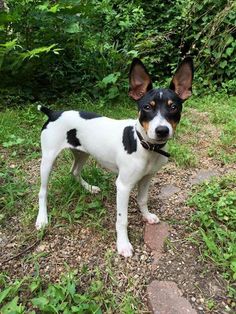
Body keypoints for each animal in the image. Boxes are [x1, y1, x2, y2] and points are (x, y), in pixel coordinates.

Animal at [35, 57, 194, 256]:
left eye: (173, 107)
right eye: (147, 107)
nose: (162, 130)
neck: (144, 145)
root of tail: (54, 113)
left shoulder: (147, 177)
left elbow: (142, 200)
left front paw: (147, 216)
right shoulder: (123, 186)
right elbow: (122, 219)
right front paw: (123, 244)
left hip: (82, 153)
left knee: (74, 171)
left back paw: (89, 188)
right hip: (48, 159)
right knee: (42, 191)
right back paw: (42, 219)